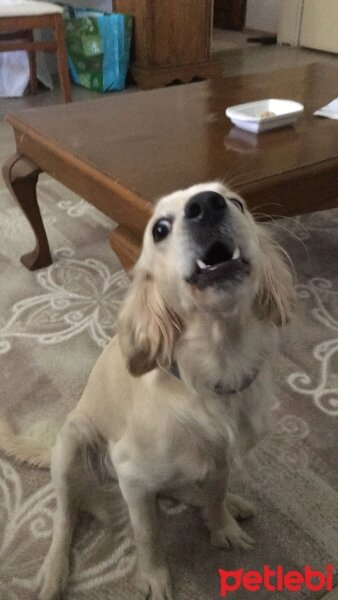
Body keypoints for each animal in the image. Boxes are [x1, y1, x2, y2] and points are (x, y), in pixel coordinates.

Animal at [0, 183, 294, 600]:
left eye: (237, 202)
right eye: (159, 229)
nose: (207, 205)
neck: (214, 373)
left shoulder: (221, 461)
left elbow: (217, 495)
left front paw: (223, 525)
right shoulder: (133, 479)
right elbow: (147, 534)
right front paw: (154, 577)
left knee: (186, 489)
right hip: (73, 441)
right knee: (65, 516)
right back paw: (54, 572)